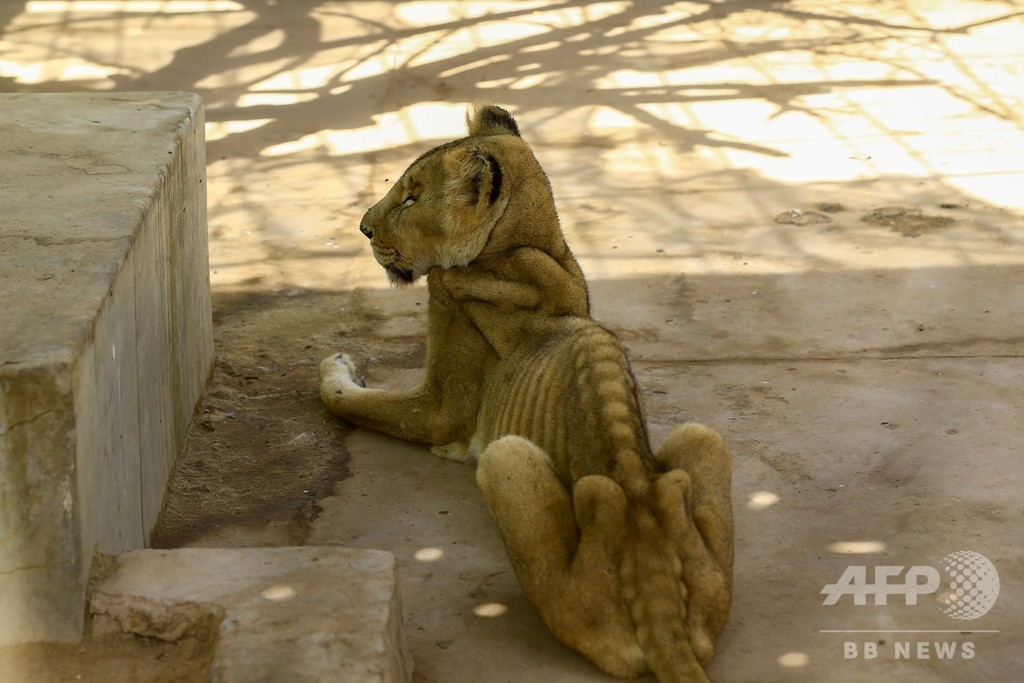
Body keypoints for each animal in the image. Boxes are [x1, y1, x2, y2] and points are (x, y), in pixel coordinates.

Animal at [317, 104, 729, 679]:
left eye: (412, 197)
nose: (362, 228)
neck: (527, 248)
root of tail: (658, 594)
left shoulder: (439, 404)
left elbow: (355, 400)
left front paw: (333, 365)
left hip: (505, 459)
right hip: (704, 443)